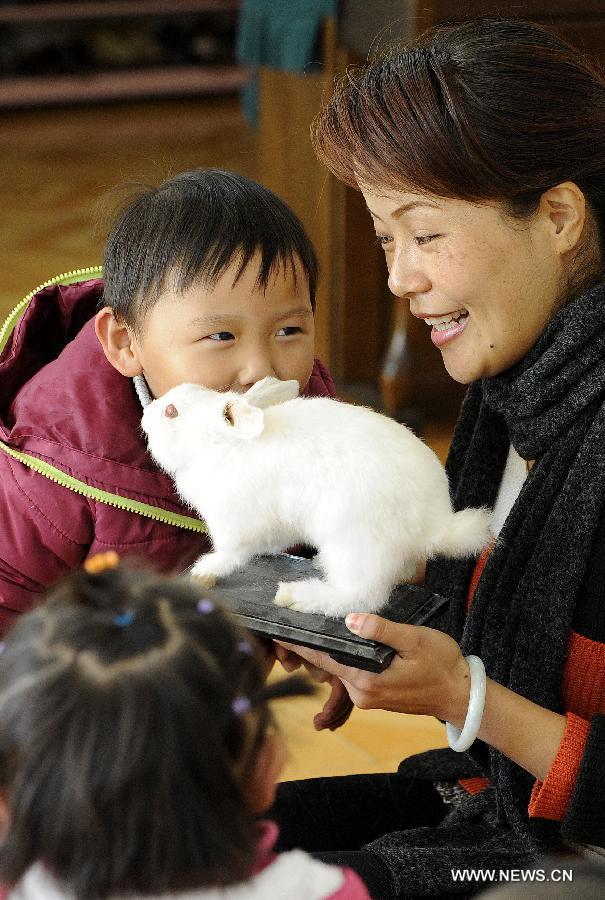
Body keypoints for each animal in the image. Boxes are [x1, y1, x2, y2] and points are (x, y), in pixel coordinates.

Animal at [142, 376, 490, 616]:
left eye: (171, 412)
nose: (145, 414)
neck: (222, 446)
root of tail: (435, 525)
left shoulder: (235, 525)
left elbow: (231, 555)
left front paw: (204, 572)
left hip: (352, 539)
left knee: (362, 598)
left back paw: (296, 597)